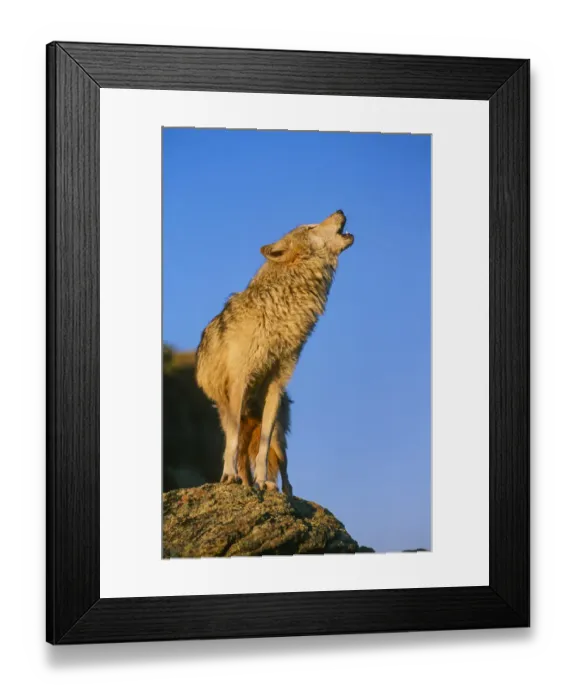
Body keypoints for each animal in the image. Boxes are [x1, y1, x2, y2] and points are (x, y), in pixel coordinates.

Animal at [195, 209, 354, 495]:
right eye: (310, 227)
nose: (340, 211)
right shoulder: (240, 382)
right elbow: (232, 443)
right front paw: (229, 476)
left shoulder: (276, 385)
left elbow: (264, 445)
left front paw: (262, 482)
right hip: (230, 413)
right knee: (238, 448)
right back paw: (241, 479)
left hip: (281, 432)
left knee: (281, 466)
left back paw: (277, 489)